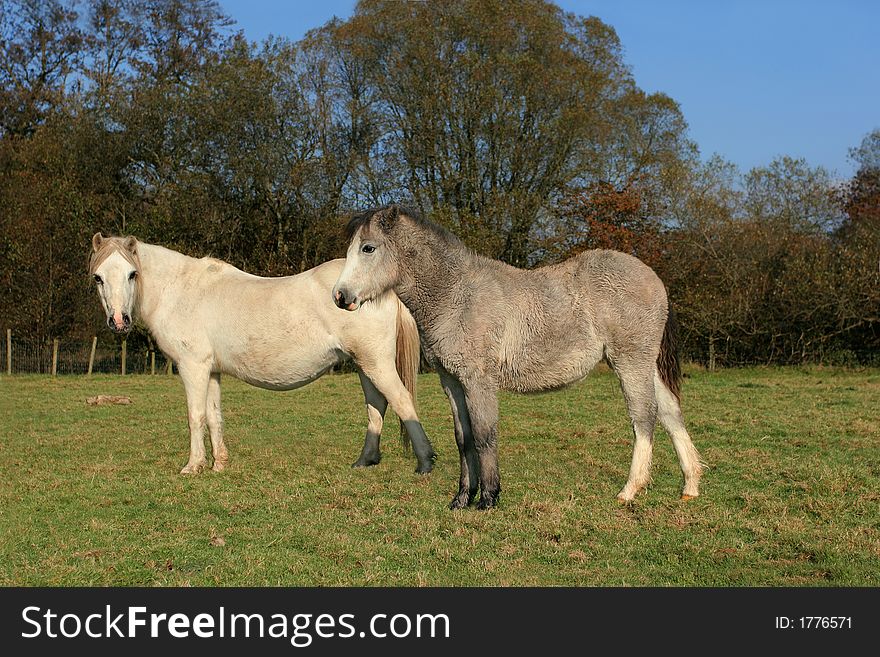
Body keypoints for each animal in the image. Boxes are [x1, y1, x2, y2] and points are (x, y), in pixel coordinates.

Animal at [89, 233, 436, 474]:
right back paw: (365, 461)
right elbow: (214, 416)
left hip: (376, 363)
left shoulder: (193, 367)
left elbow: (195, 416)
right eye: (98, 277)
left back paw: (425, 462)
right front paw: (219, 464)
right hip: (365, 364)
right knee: (376, 406)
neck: (181, 290)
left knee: (402, 400)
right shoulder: (211, 370)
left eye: (132, 274)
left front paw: (193, 466)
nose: (119, 321)